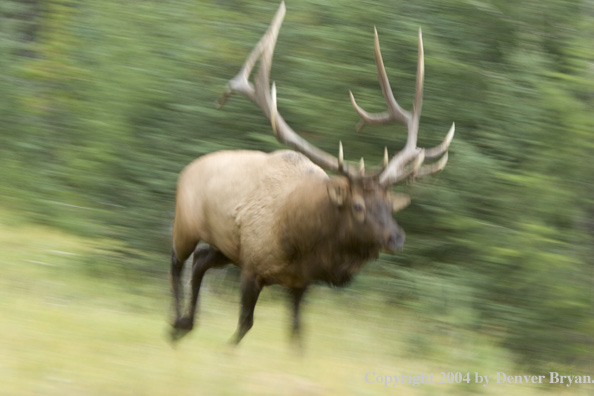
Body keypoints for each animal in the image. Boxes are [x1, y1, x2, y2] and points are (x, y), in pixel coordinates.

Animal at [169, 2, 456, 344]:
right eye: (357, 205)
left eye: (389, 205)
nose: (396, 238)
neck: (302, 241)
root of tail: (187, 169)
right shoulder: (252, 267)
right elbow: (244, 324)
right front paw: (226, 351)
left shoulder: (299, 282)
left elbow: (297, 333)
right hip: (186, 224)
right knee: (177, 262)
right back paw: (175, 324)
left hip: (225, 246)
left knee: (200, 262)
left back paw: (187, 323)